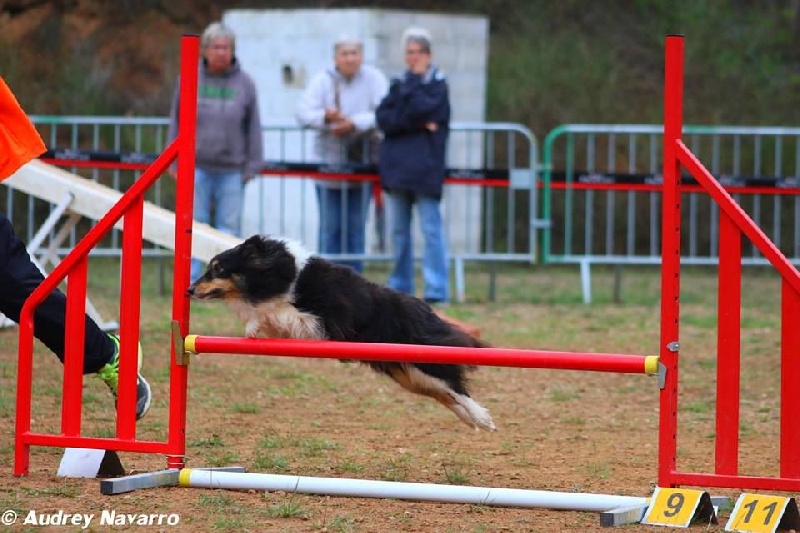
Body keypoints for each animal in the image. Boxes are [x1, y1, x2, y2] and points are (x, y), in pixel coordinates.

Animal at [187, 235, 494, 430]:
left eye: (218, 269)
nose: (189, 290)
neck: (285, 275)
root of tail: (425, 310)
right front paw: (253, 326)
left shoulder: (325, 320)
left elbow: (279, 312)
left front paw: (254, 322)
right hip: (408, 374)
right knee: (445, 393)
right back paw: (471, 420)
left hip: (423, 362)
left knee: (455, 387)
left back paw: (483, 419)